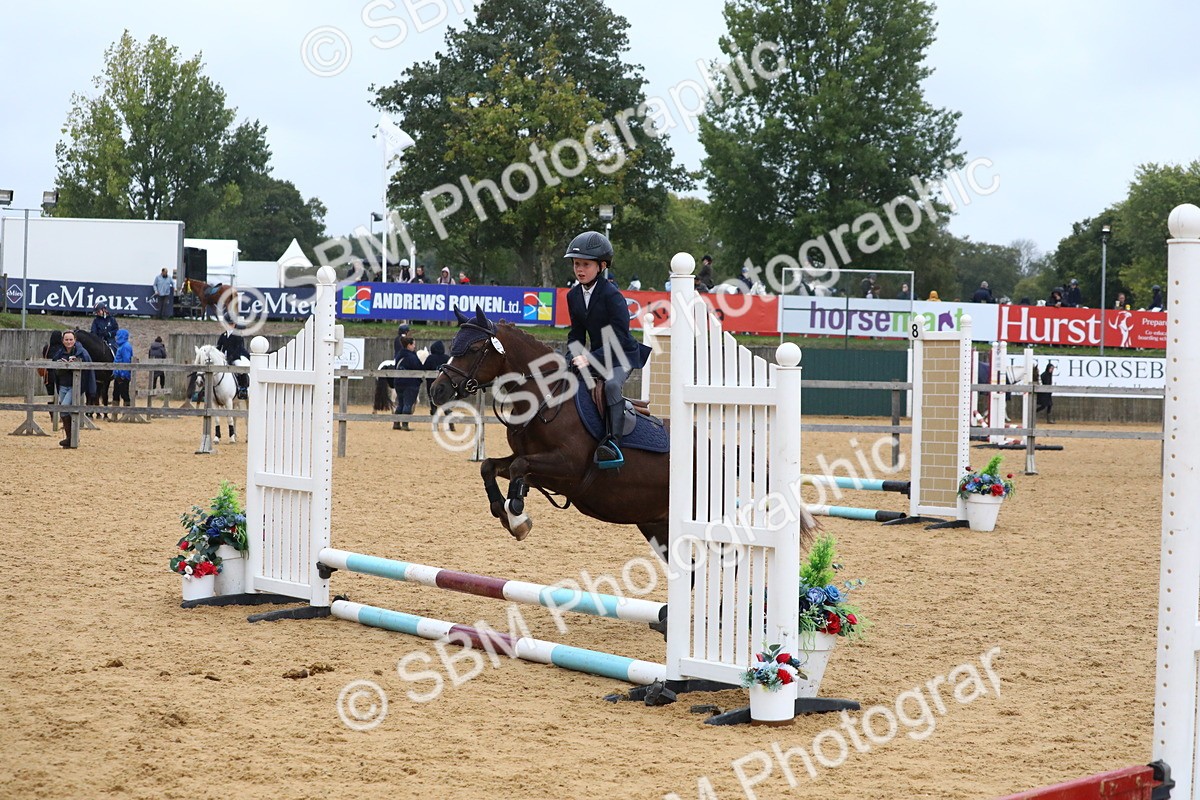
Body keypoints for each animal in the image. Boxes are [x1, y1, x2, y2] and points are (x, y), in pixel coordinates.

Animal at [428, 307, 675, 557]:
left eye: (474, 349)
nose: (437, 390)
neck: (544, 401)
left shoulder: (570, 465)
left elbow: (518, 467)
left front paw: (517, 516)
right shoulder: (537, 465)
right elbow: (489, 466)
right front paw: (505, 513)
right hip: (656, 527)